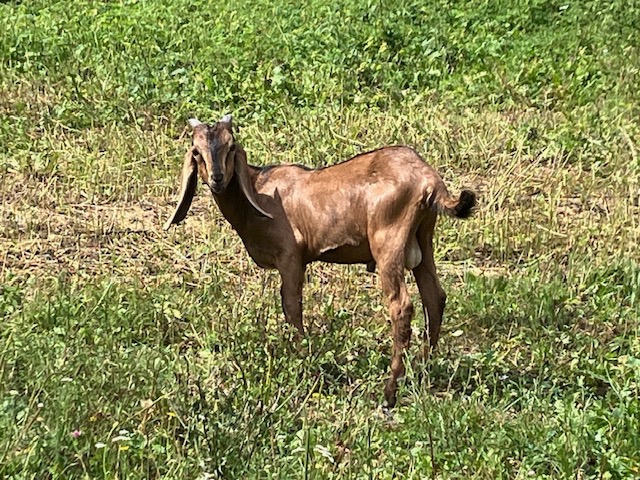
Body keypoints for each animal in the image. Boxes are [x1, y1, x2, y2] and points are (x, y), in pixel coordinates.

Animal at [165, 114, 476, 406]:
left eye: (230, 147)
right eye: (196, 151)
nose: (217, 178)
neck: (258, 191)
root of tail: (429, 180)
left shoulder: (290, 257)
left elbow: (292, 306)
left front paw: (302, 361)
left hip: (389, 241)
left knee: (401, 306)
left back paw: (389, 392)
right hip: (423, 235)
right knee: (434, 296)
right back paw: (422, 370)